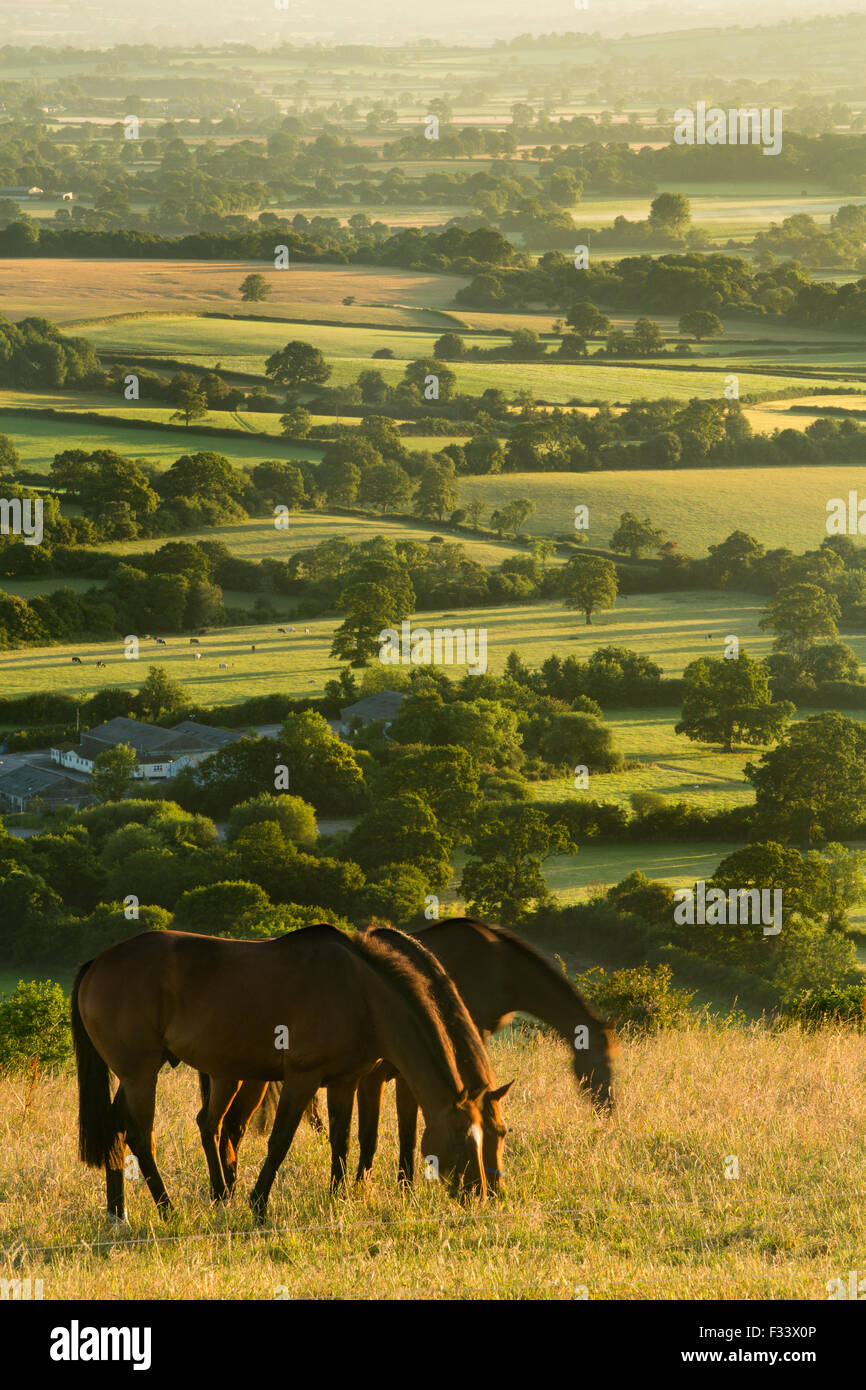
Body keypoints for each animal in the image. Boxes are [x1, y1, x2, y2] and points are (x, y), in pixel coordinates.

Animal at [72, 928, 489, 1223]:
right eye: (461, 1138)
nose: (480, 1193)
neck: (359, 992)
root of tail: (97, 962)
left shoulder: (344, 1081)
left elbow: (341, 1140)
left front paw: (337, 1198)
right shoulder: (302, 1078)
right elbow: (280, 1141)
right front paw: (258, 1205)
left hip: (136, 1076)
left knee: (119, 1129)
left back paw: (119, 1214)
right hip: (141, 1075)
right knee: (141, 1137)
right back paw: (167, 1209)